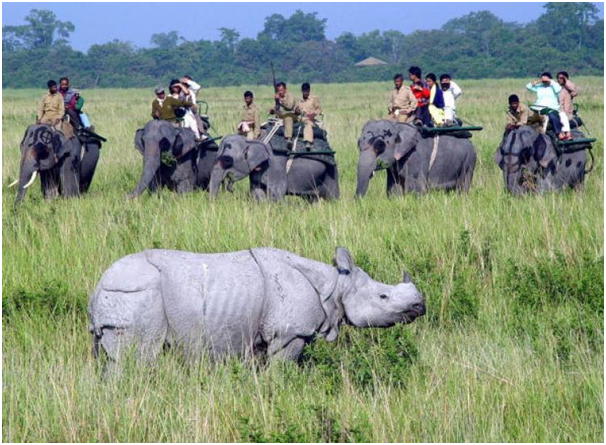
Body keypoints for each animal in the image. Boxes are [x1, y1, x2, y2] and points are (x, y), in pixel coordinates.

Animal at [89, 245, 428, 366]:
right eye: (383, 297)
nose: (420, 306)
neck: (334, 286)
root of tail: (97, 288)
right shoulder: (289, 333)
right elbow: (282, 370)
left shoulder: (259, 337)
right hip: (136, 294)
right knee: (137, 360)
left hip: (121, 297)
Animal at [211, 133, 340, 200]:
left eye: (227, 160)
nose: (230, 188)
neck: (252, 141)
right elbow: (257, 191)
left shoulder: (275, 164)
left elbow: (276, 192)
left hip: (331, 169)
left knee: (332, 195)